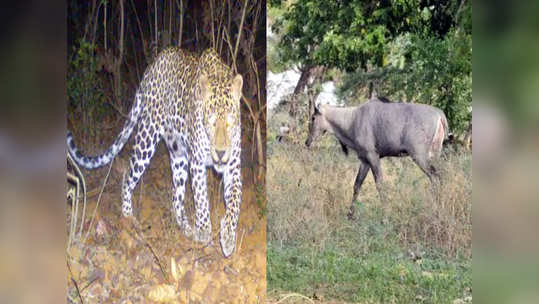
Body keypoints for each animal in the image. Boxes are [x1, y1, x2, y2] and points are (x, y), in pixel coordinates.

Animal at [66, 47, 244, 256]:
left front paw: (228, 237)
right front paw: (204, 231)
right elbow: (201, 199)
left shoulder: (233, 168)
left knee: (176, 197)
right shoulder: (197, 163)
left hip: (178, 154)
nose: (221, 152)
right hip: (147, 136)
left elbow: (234, 202)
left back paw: (186, 228)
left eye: (230, 121)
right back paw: (128, 218)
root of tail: (155, 62)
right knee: (128, 176)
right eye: (211, 121)